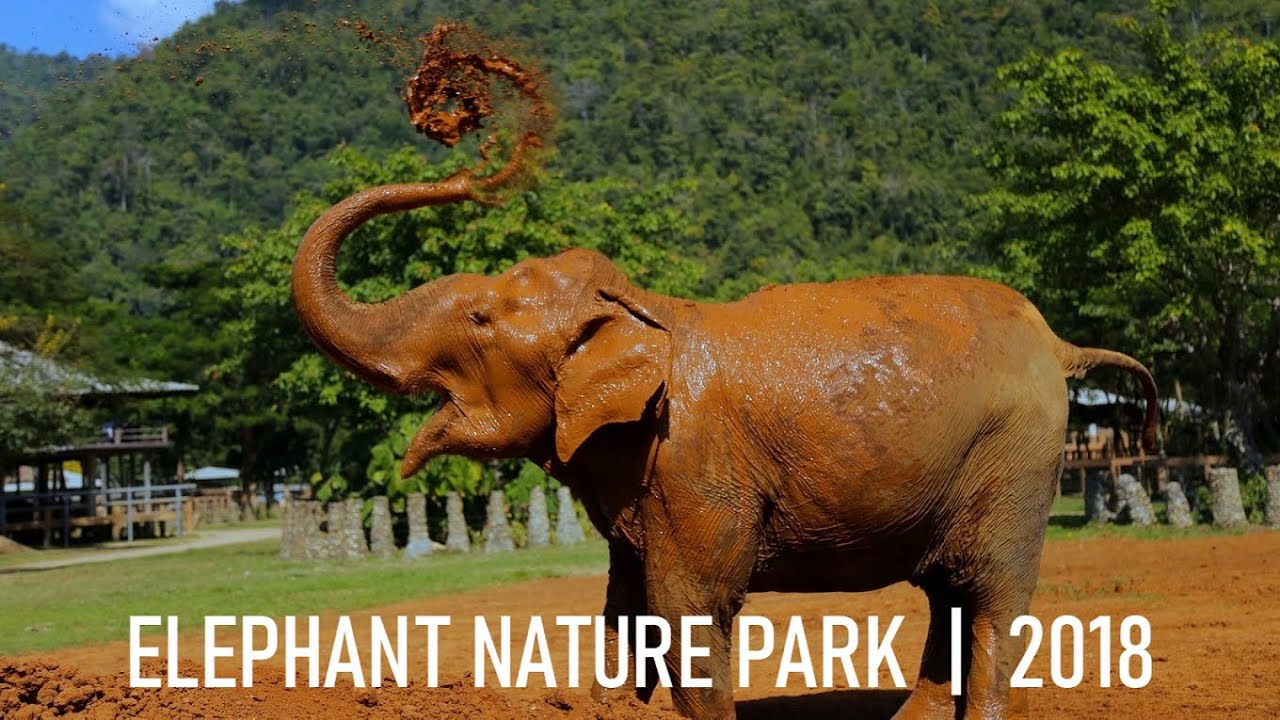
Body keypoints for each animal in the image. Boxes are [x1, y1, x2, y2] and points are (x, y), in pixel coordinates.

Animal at [292, 171, 1158, 720]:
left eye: (479, 319)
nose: (473, 171)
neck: (646, 311)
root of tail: (1060, 343)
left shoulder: (693, 462)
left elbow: (687, 608)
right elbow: (627, 607)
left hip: (1018, 455)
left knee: (990, 599)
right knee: (949, 596)